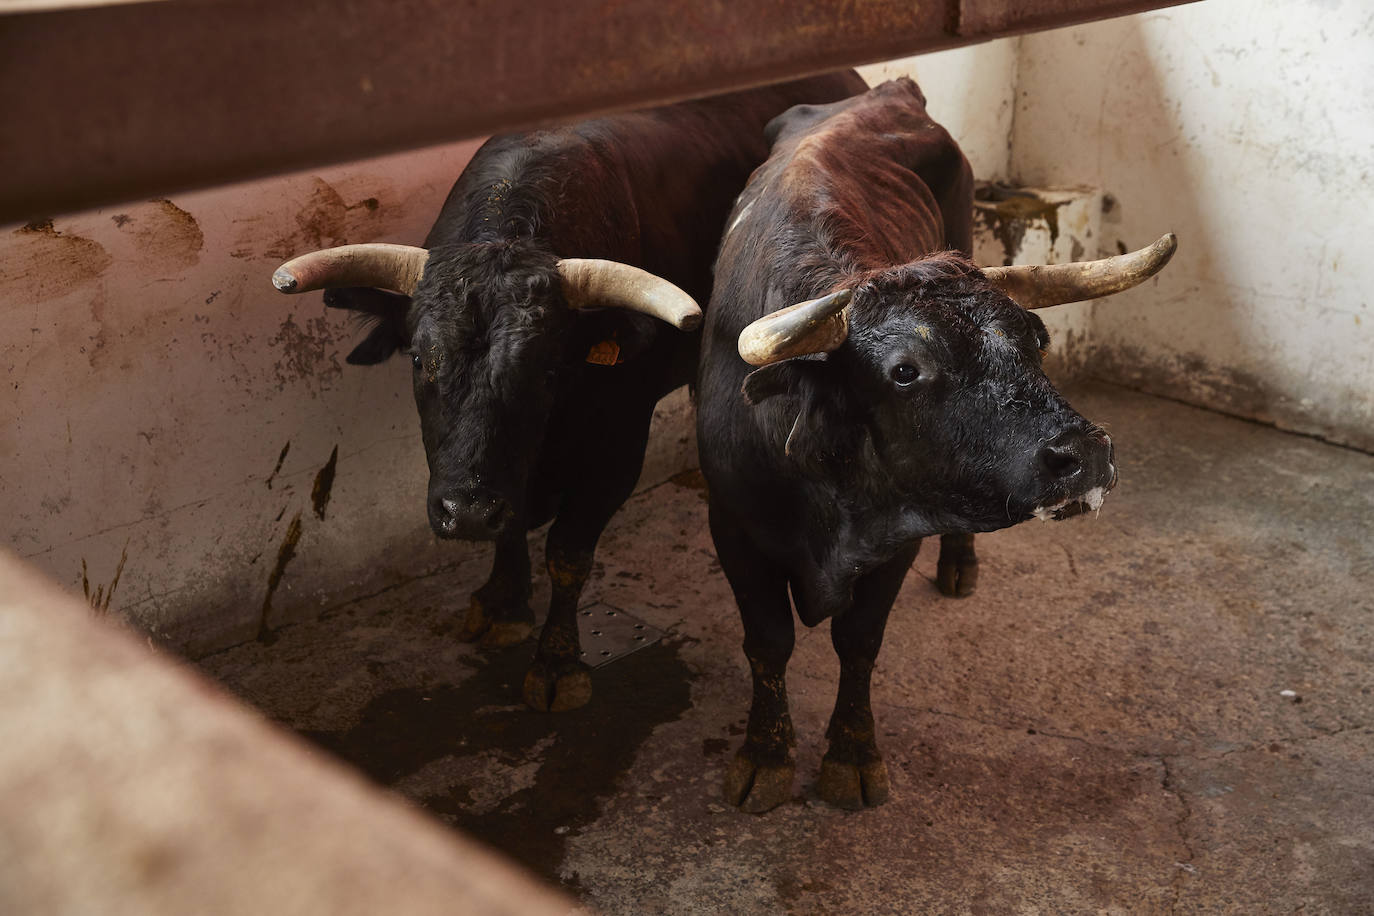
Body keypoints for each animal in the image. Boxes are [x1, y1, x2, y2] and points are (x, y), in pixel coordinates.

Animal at [272, 73, 862, 714]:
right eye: (421, 360)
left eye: (548, 371)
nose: (466, 512)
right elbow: (513, 527)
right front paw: (503, 603)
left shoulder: (618, 445)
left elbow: (568, 552)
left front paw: (557, 662)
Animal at [697, 76, 1181, 807]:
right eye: (904, 371)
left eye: (1037, 339)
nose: (1088, 454)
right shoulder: (733, 529)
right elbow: (768, 643)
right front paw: (766, 754)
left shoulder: (900, 532)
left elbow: (859, 642)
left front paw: (852, 755)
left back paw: (960, 567)